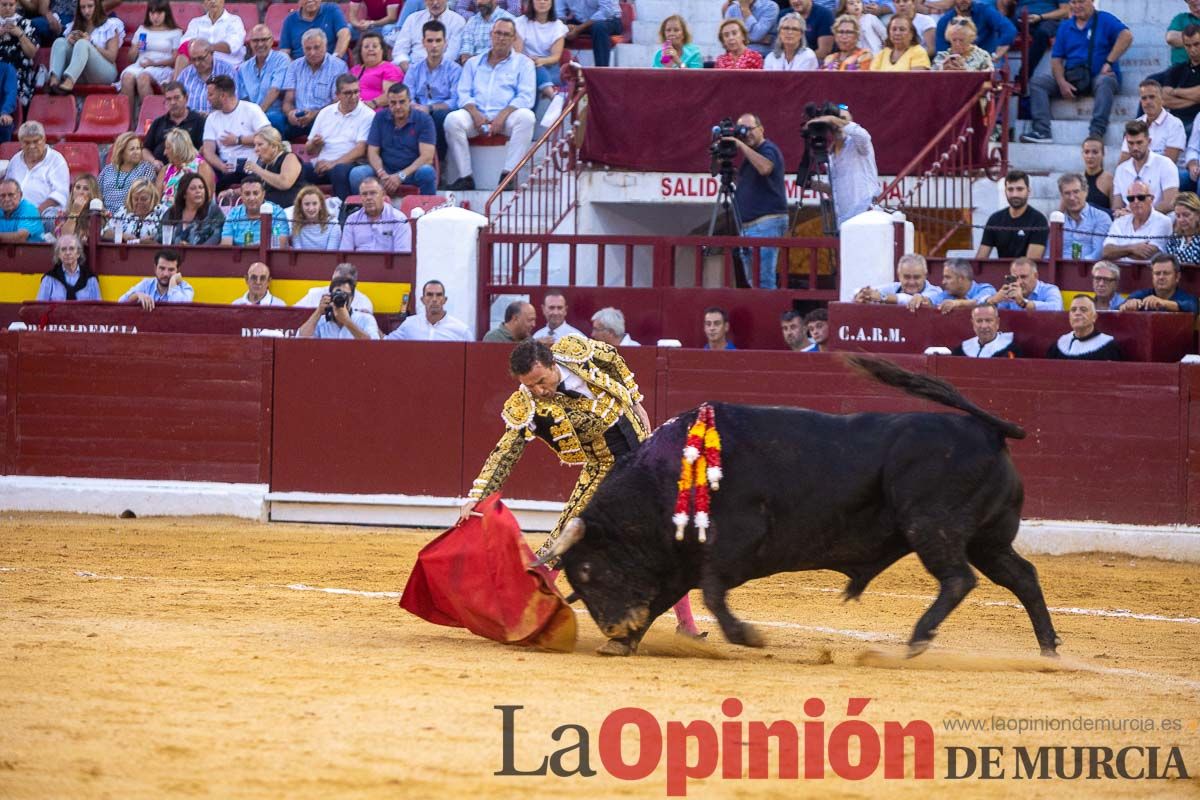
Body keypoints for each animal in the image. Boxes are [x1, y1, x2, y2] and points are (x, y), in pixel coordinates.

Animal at [540, 357, 1065, 657]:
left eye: (586, 571)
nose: (614, 626)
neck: (665, 480)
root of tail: (988, 430)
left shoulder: (730, 544)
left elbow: (712, 593)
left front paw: (747, 637)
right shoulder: (678, 561)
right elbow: (669, 596)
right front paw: (625, 642)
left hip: (933, 526)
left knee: (959, 579)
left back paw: (918, 639)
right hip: (985, 539)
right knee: (1021, 576)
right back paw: (1048, 649)